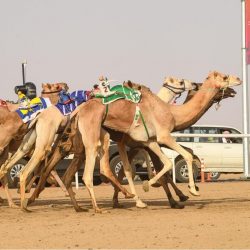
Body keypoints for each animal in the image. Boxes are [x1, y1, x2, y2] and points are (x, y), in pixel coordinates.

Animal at [76, 71, 242, 212]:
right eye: (225, 77)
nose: (238, 79)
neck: (172, 112)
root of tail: (80, 109)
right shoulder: (161, 137)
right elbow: (181, 158)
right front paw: (189, 192)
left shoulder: (149, 141)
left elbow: (165, 165)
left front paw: (179, 194)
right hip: (93, 136)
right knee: (90, 172)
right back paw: (99, 206)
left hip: (103, 136)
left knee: (103, 167)